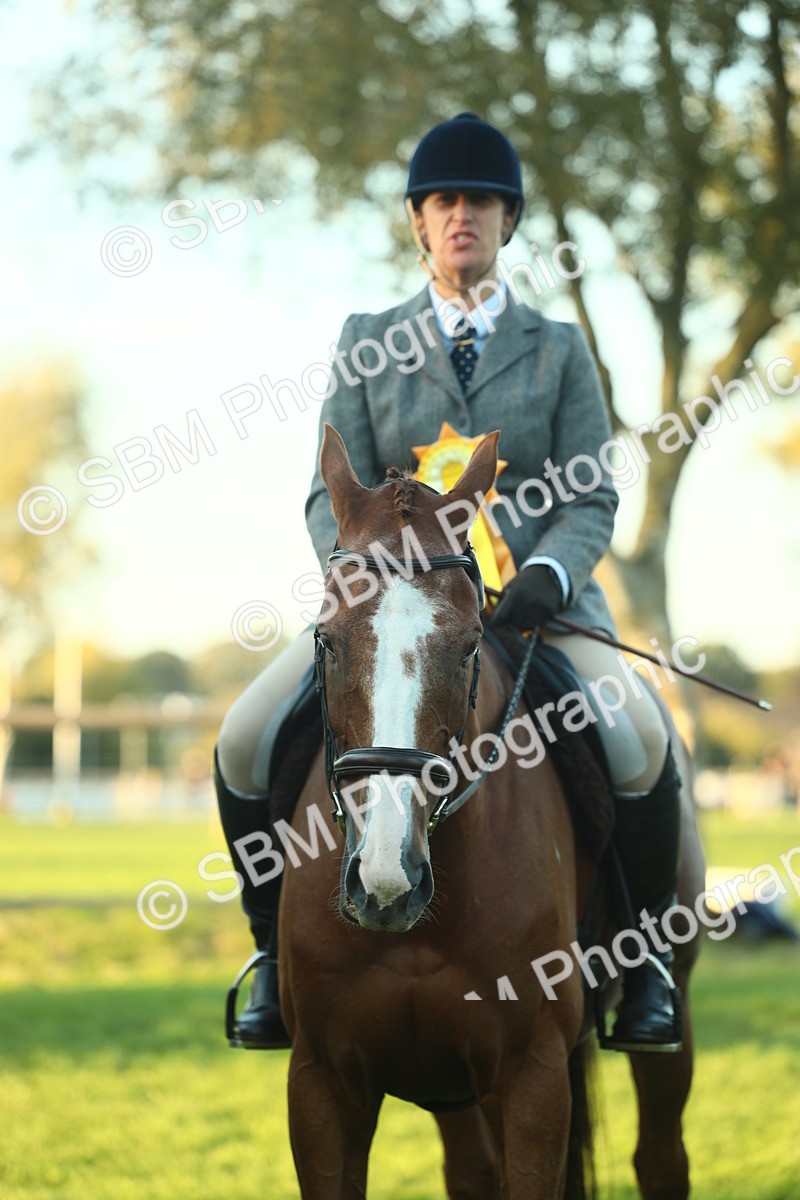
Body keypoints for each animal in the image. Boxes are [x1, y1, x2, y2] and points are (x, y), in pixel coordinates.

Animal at [278, 423, 704, 1199]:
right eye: (326, 640)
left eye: (469, 643)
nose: (386, 882)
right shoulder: (321, 1084)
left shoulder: (533, 1077)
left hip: (669, 1013)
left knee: (661, 1156)